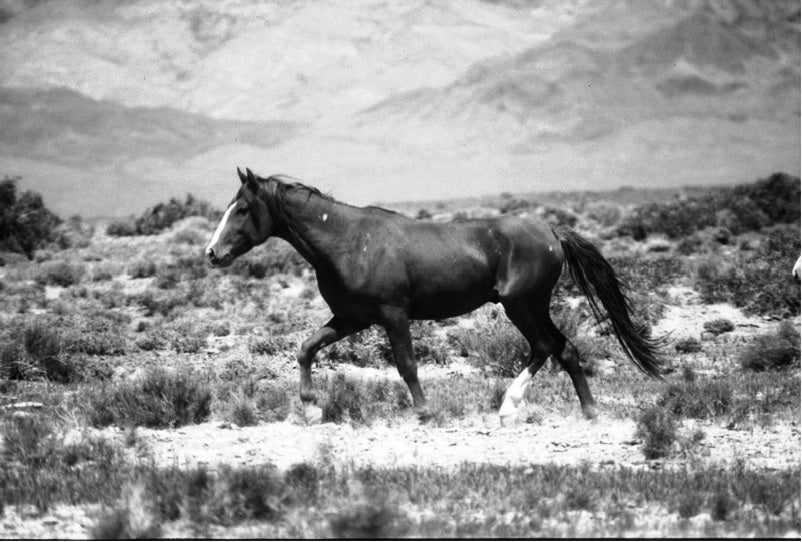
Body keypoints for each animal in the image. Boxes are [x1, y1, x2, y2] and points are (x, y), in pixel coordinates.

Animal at [206, 169, 664, 424]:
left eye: (242, 209)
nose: (212, 253)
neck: (349, 242)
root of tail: (552, 233)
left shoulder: (394, 315)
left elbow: (407, 365)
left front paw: (425, 413)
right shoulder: (351, 318)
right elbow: (305, 348)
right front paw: (311, 407)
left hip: (520, 305)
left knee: (544, 346)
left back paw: (508, 408)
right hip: (533, 305)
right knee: (564, 349)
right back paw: (588, 412)